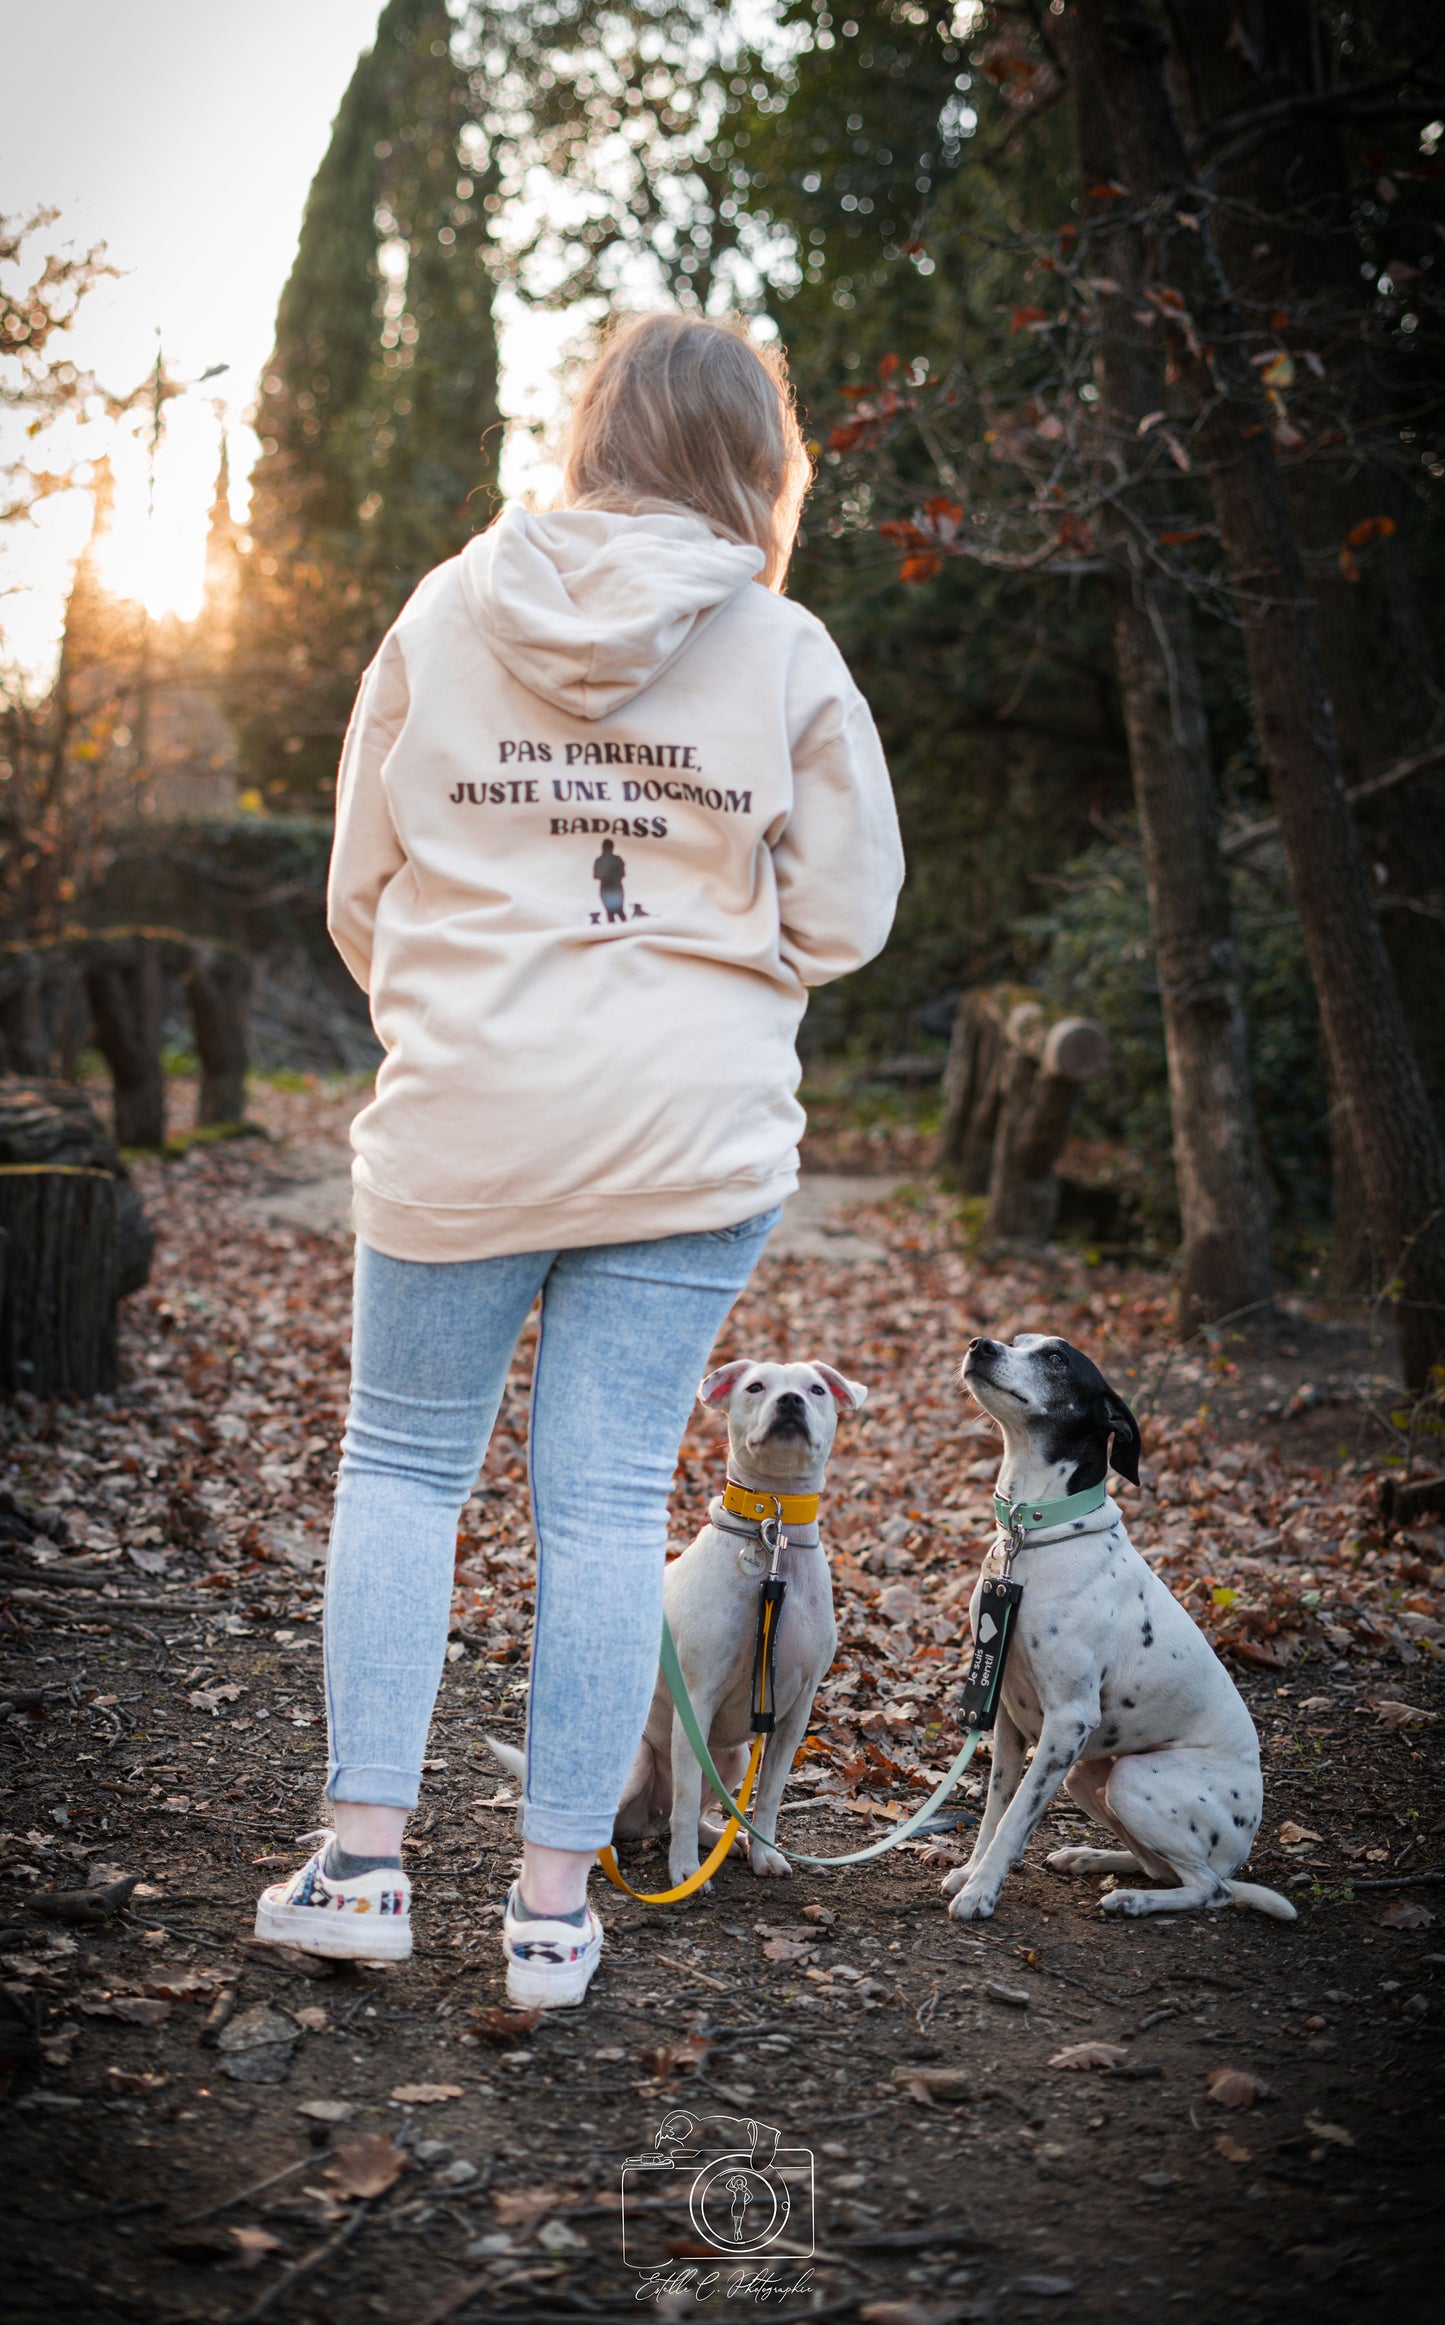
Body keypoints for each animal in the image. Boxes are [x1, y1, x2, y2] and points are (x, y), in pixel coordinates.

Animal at [947, 1339, 1300, 1915]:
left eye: (1057, 1359)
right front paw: (970, 1873)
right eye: (1015, 1341)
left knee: (1211, 1889)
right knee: (1164, 1868)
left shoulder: (1067, 1720)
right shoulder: (1006, 1713)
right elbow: (996, 1808)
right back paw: (1090, 1858)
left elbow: (1017, 1816)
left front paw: (981, 1891)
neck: (1037, 1535)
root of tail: (1241, 1849)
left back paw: (1134, 1900)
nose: (981, 1345)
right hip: (1088, 1776)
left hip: (1131, 1779)